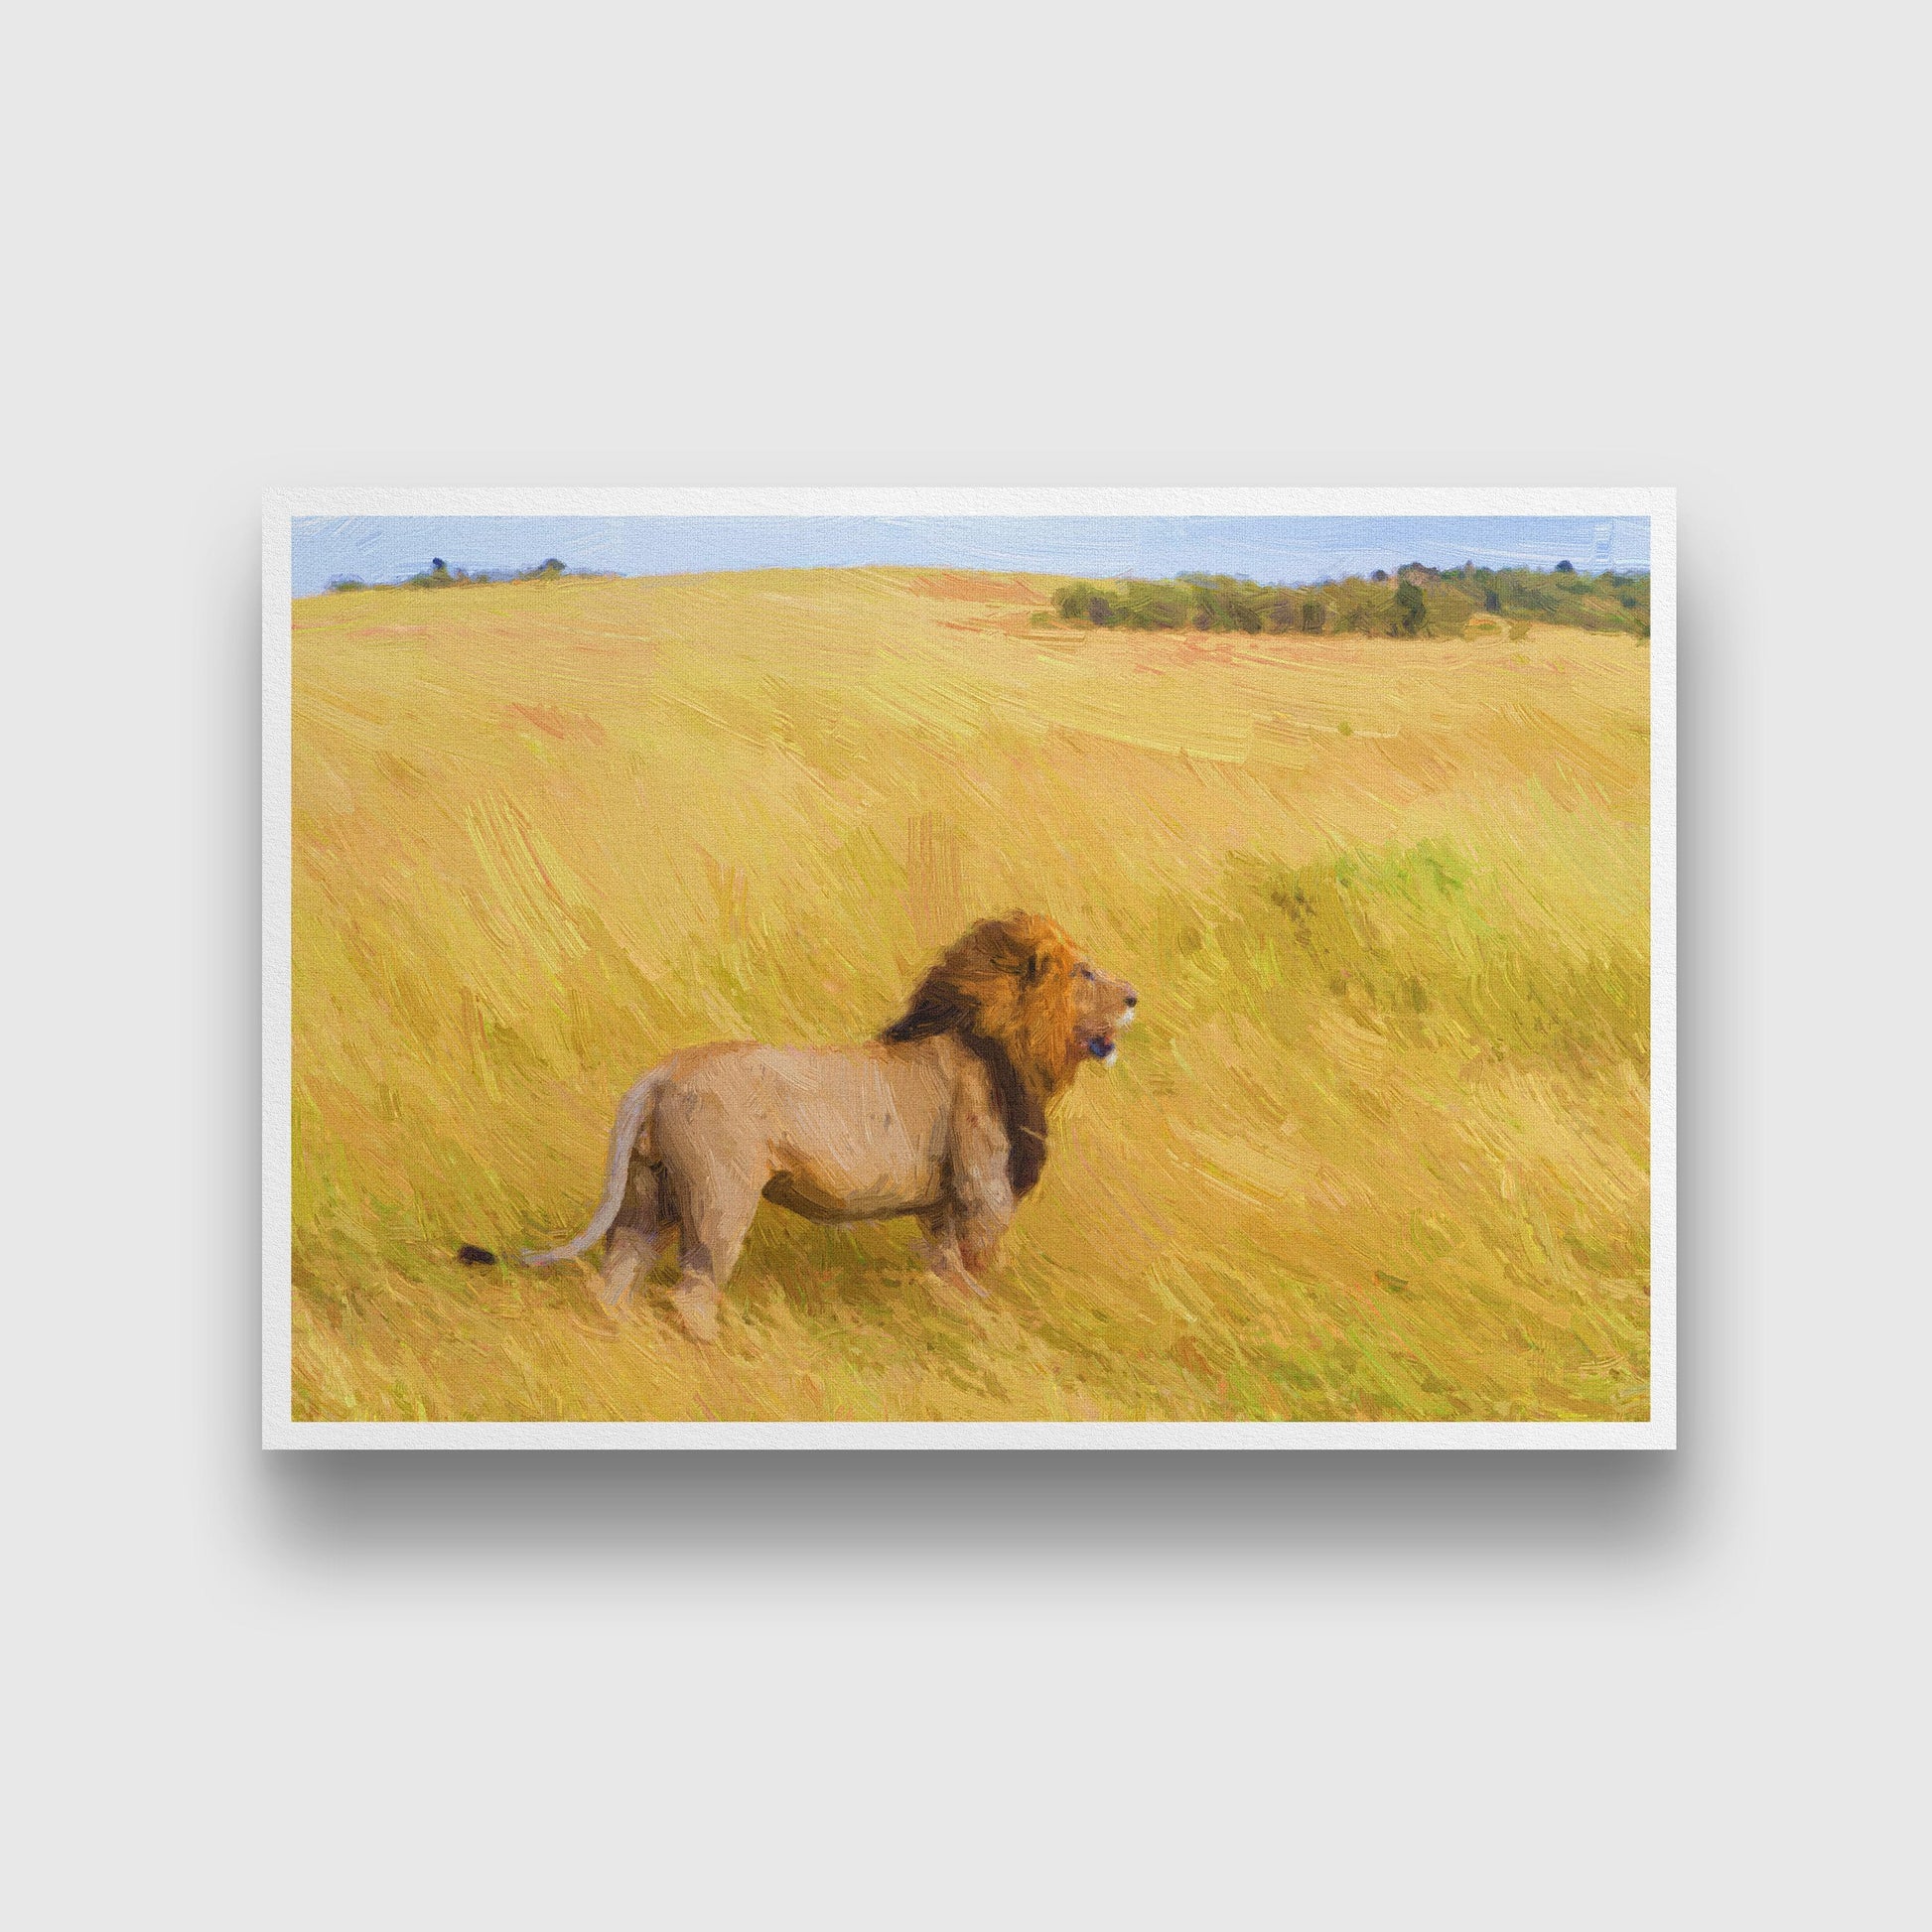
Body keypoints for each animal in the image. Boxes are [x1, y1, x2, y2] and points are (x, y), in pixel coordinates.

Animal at [478, 913, 1137, 1341]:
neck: (999, 1041)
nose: (1134, 996)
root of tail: (661, 1074)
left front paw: (958, 1312)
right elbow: (980, 1257)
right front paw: (993, 1317)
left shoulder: (943, 1202)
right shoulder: (982, 1184)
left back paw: (616, 1339)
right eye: (1083, 973)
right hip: (720, 1199)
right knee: (692, 1293)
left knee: (617, 1274)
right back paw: (719, 1356)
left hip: (648, 1192)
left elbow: (945, 1264)